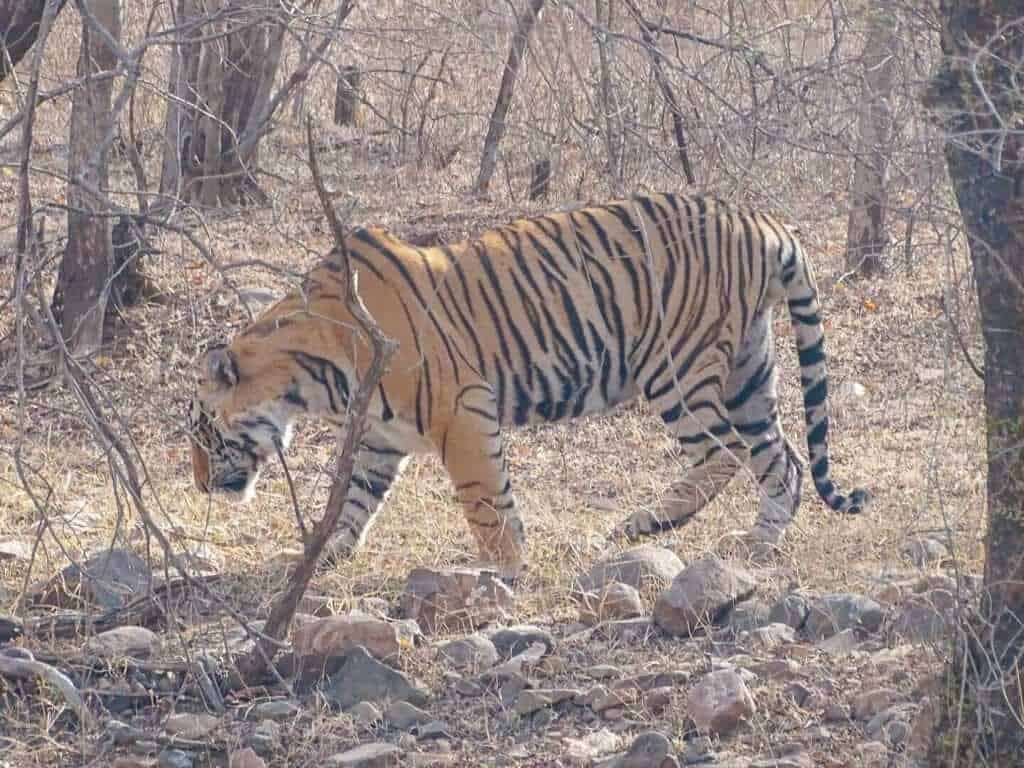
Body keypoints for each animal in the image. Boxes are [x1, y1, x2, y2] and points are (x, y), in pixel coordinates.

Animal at [188, 195, 868, 581]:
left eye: (202, 433)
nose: (198, 484)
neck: (313, 375)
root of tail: (763, 219)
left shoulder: (459, 410)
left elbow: (485, 498)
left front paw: (503, 568)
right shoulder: (381, 435)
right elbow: (355, 499)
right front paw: (321, 557)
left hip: (677, 365)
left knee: (723, 453)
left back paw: (641, 525)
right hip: (749, 369)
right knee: (782, 459)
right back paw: (755, 544)